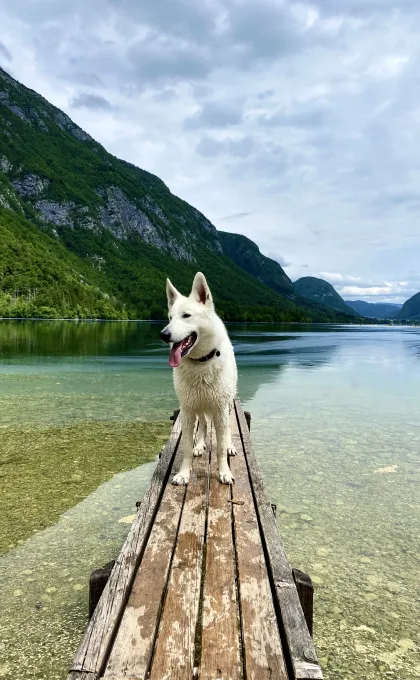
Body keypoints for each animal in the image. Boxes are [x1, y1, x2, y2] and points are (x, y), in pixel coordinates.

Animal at [160, 270, 238, 484]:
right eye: (170, 317)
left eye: (186, 316)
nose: (163, 334)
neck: (201, 362)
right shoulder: (187, 411)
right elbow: (186, 446)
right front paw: (184, 473)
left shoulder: (220, 410)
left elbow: (220, 448)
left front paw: (224, 472)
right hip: (199, 405)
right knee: (203, 424)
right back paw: (200, 445)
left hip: (228, 404)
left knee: (226, 432)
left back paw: (230, 445)